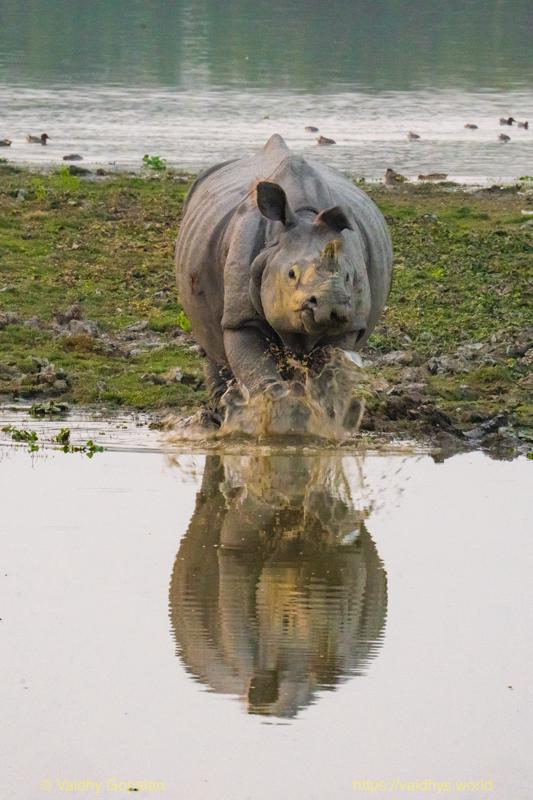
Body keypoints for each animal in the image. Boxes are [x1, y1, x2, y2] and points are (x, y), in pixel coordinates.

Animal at [176, 134, 392, 409]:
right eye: (291, 274)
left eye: (347, 277)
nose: (330, 307)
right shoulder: (241, 317)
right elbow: (262, 378)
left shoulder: (349, 325)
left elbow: (326, 381)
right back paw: (219, 409)